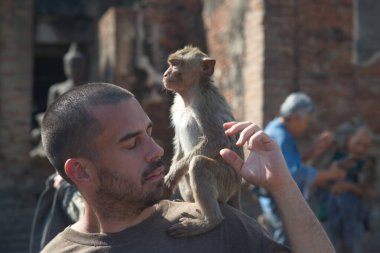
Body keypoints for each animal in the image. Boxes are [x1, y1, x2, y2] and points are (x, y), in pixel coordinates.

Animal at [161, 45, 243, 237]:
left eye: (176, 64)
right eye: (171, 63)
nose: (166, 74)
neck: (189, 96)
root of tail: (237, 188)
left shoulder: (206, 104)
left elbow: (217, 140)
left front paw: (172, 174)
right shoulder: (175, 107)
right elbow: (180, 150)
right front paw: (173, 173)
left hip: (227, 182)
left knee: (198, 163)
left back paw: (209, 221)